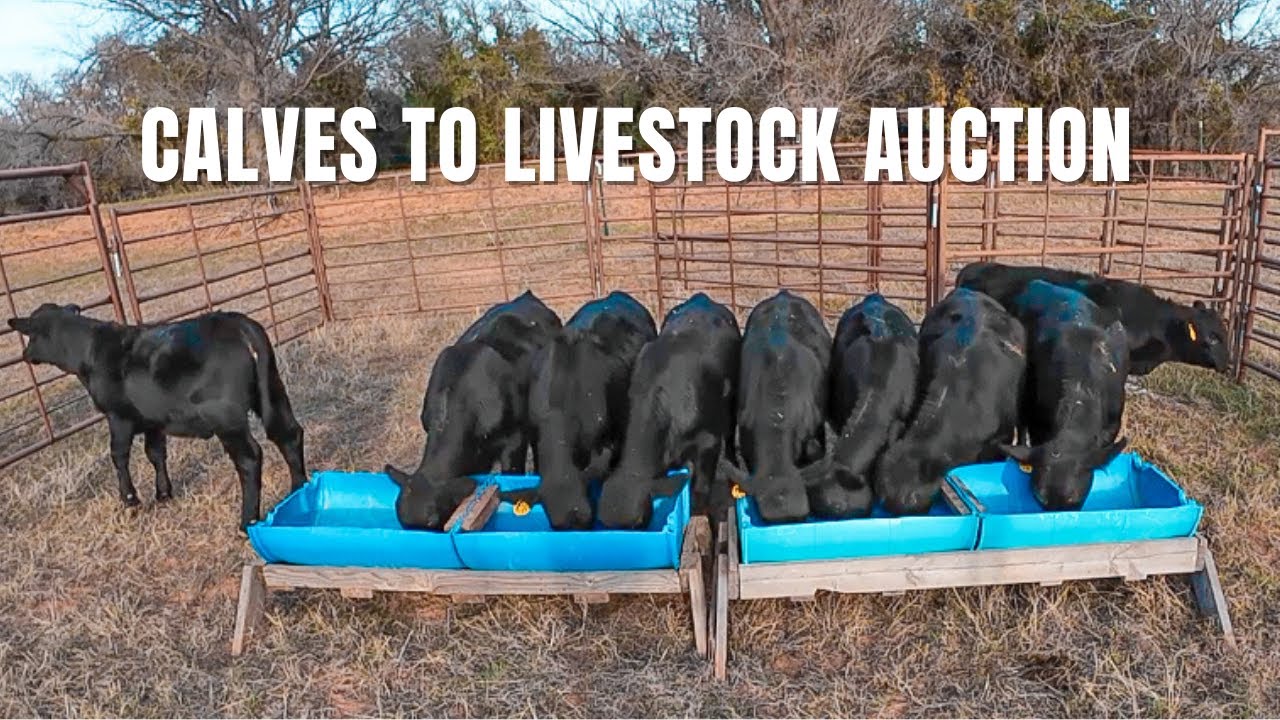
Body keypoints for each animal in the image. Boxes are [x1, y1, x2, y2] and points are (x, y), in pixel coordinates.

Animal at [8, 303, 306, 531]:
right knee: (288, 435)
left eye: (30, 336)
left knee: (249, 458)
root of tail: (238, 324)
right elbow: (156, 453)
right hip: (273, 392)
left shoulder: (118, 416)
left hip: (226, 417)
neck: (92, 351)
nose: (24, 354)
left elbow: (119, 455)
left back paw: (247, 522)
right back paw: (298, 491)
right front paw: (163, 493)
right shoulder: (153, 420)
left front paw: (130, 499)